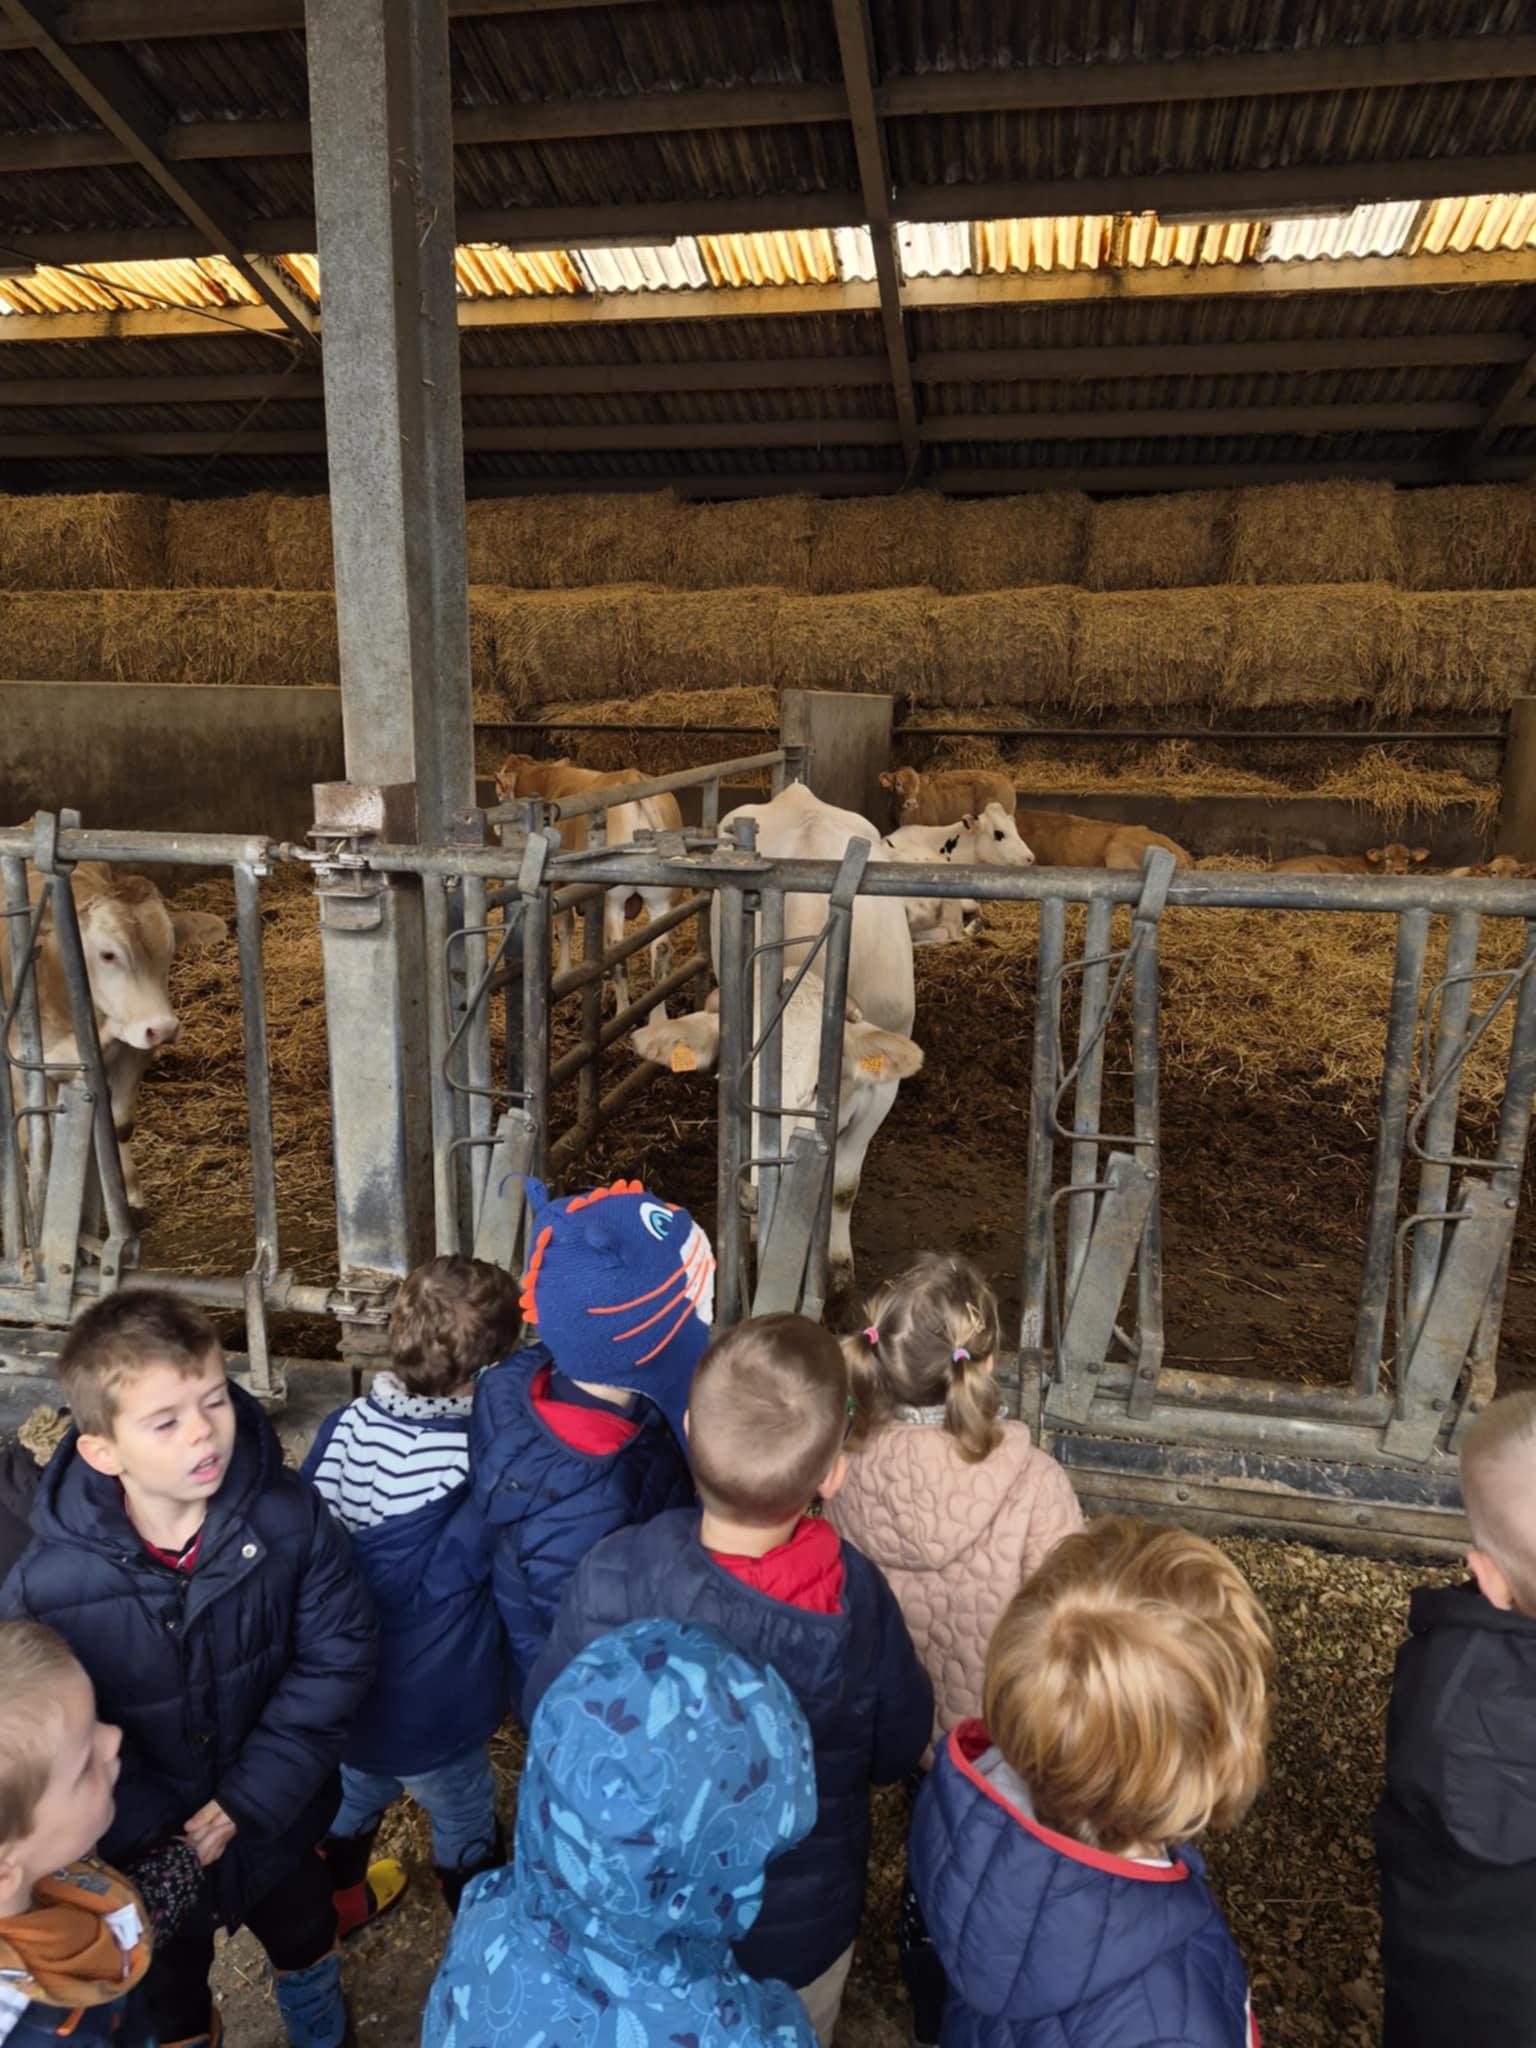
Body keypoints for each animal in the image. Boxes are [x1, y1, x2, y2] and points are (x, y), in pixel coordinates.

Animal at [1, 862, 227, 1219]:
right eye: (108, 955)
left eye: (170, 950)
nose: (163, 1028)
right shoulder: (22, 1064)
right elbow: (35, 1144)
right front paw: (41, 1205)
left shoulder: (134, 1049)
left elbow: (120, 1123)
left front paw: (129, 1196)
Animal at [495, 754, 685, 1025]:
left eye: (499, 792)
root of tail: (632, 776)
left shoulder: (559, 883)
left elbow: (565, 927)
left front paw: (563, 973)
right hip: (661, 901)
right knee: (660, 953)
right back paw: (659, 1019)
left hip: (613, 900)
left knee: (619, 955)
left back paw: (623, 1012)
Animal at [632, 781, 921, 1302]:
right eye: (732, 1083)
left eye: (815, 1089)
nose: (759, 1194)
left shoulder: (882, 1092)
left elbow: (843, 1185)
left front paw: (838, 1264)